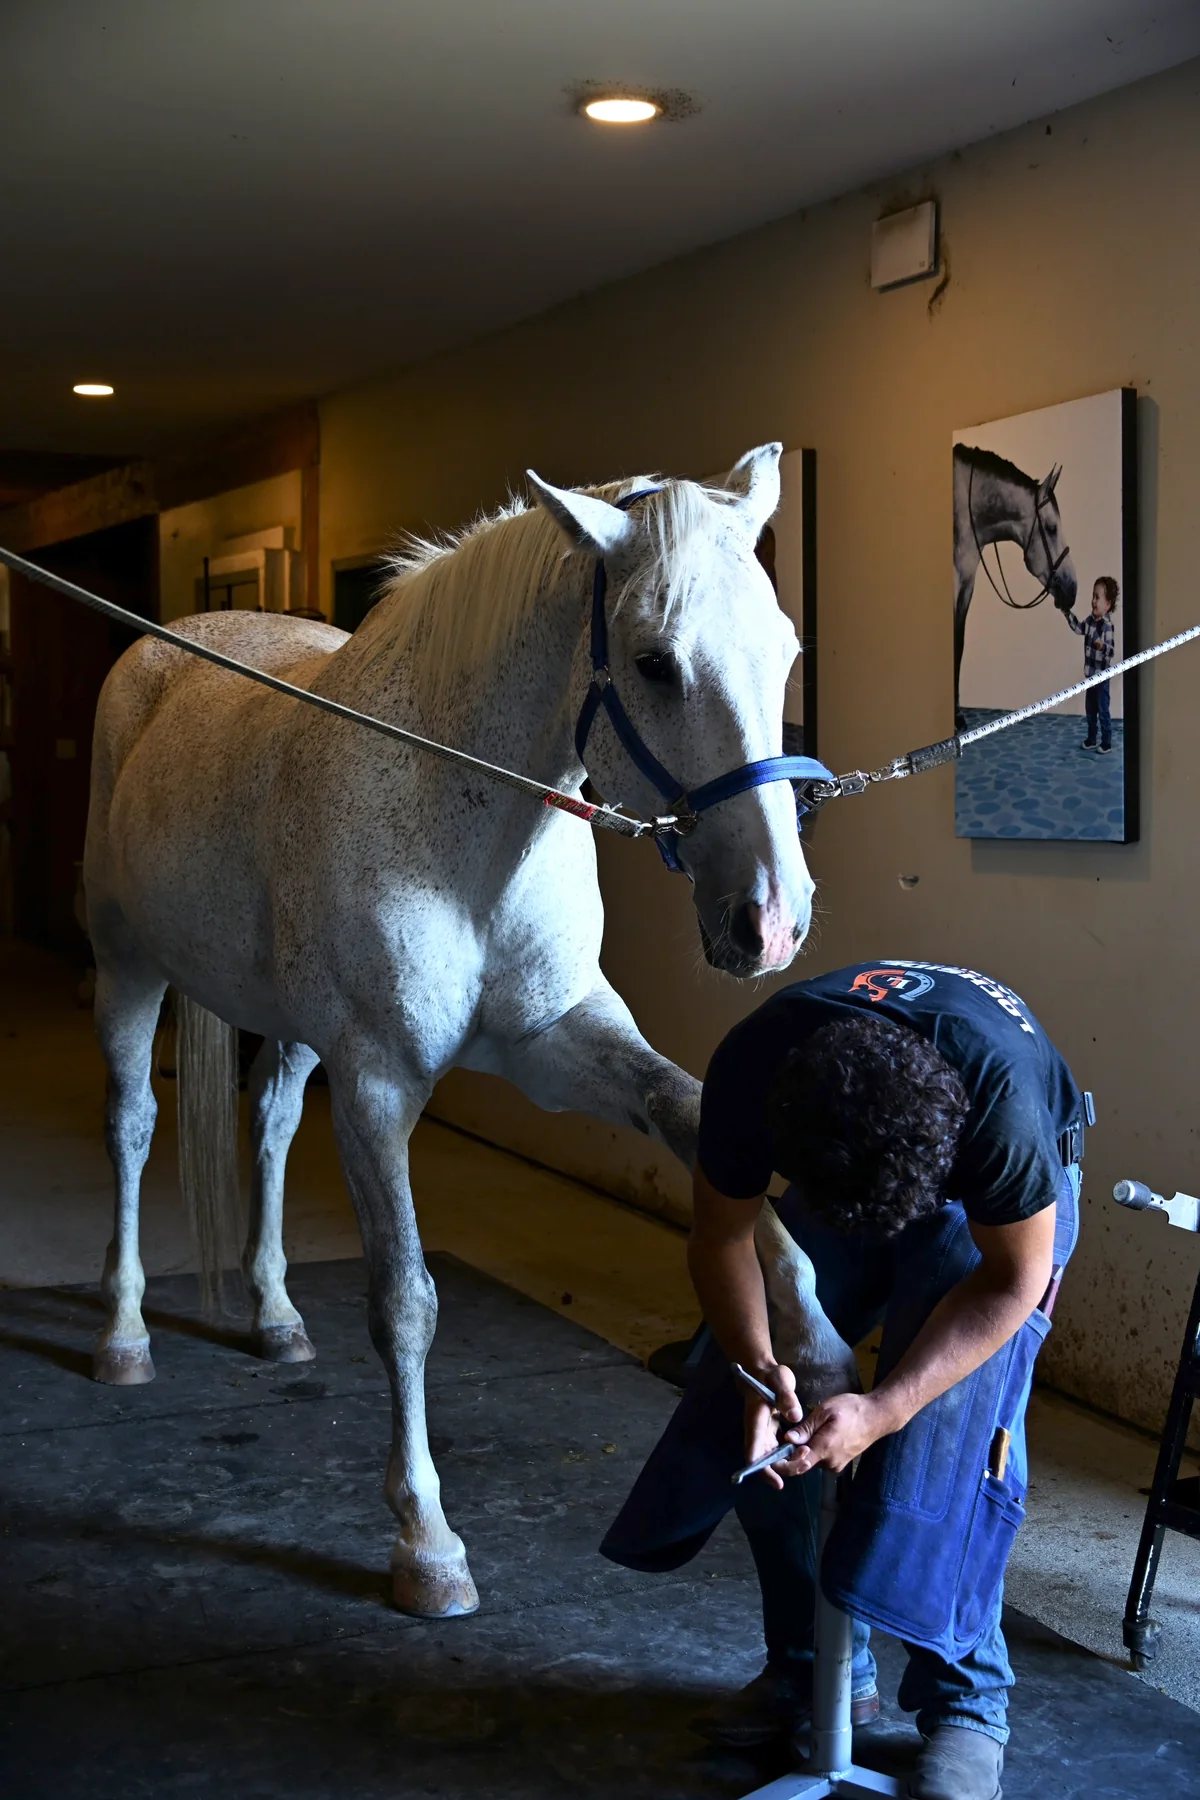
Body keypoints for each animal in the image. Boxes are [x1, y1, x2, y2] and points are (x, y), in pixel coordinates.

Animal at [82, 443, 842, 1618]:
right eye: (656, 662)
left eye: (787, 648)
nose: (770, 918)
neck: (462, 825)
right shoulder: (378, 1083)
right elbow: (406, 1302)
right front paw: (427, 1544)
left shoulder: (558, 1041)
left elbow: (685, 1110)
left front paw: (811, 1331)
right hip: (128, 968)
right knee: (130, 1126)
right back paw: (122, 1336)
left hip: (288, 1029)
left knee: (267, 1124)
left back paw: (274, 1314)